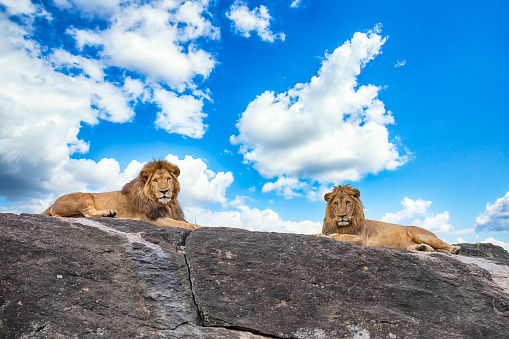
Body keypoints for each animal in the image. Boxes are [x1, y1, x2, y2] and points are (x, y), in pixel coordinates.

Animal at [41, 160, 196, 231]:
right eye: (155, 180)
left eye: (168, 179)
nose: (164, 191)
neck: (167, 204)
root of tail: (52, 203)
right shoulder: (154, 219)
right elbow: (184, 225)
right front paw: (199, 227)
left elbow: (185, 222)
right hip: (84, 196)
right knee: (88, 213)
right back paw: (109, 213)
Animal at [322, 185, 460, 254]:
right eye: (335, 203)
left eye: (348, 202)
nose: (342, 216)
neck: (340, 226)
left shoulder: (361, 239)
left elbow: (343, 236)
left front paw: (331, 236)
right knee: (431, 249)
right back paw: (421, 248)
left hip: (422, 235)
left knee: (441, 244)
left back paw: (455, 249)